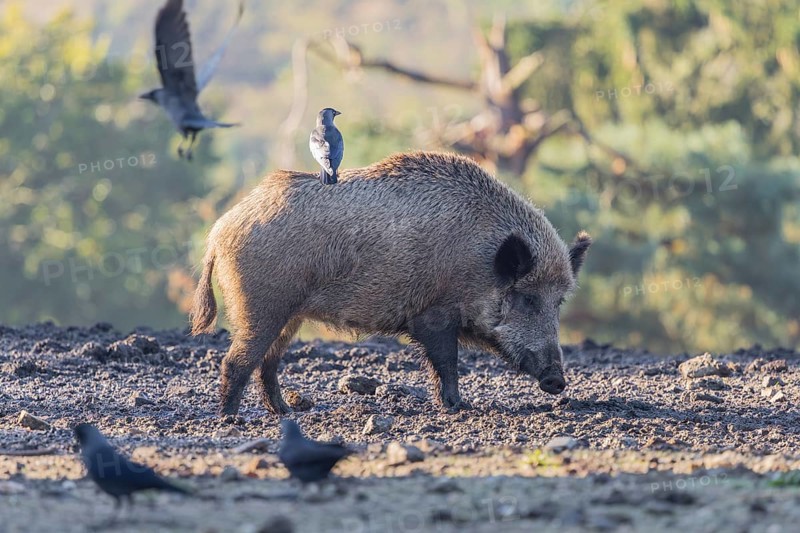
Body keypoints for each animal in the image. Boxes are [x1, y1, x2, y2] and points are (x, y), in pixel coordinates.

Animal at [191, 151, 591, 416]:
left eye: (559, 302)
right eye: (527, 298)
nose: (557, 381)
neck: (479, 261)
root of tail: (220, 230)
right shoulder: (433, 315)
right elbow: (446, 361)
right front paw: (457, 407)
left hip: (289, 315)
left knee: (268, 363)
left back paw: (286, 413)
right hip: (261, 305)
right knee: (237, 360)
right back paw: (231, 418)